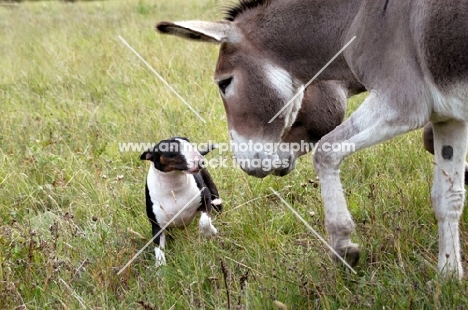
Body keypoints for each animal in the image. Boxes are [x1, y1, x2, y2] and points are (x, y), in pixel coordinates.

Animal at [140, 137, 222, 266]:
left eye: (189, 143)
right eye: (172, 147)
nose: (200, 161)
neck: (173, 186)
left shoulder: (205, 198)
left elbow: (204, 221)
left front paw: (210, 232)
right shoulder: (157, 225)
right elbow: (159, 249)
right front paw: (161, 267)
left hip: (213, 191)